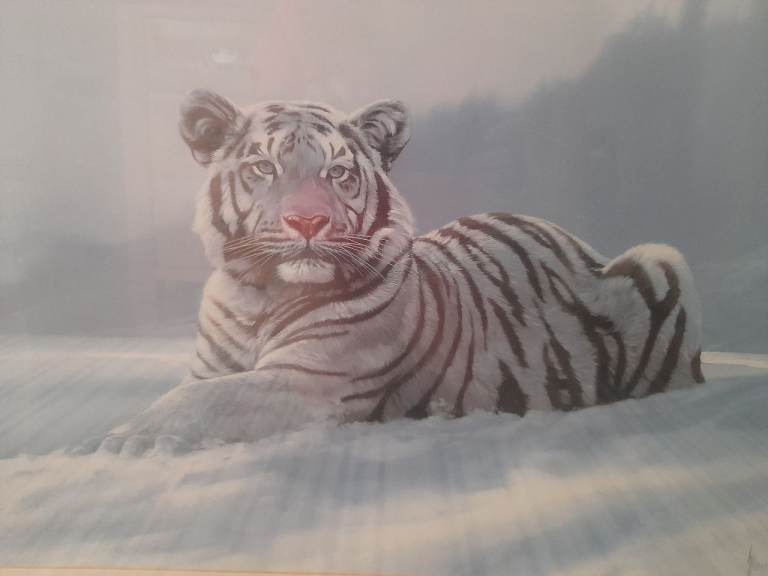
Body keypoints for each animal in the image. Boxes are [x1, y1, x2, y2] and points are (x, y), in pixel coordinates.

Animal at [87, 89, 705, 456]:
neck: (260, 296)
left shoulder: (311, 379)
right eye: (263, 167)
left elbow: (198, 403)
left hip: (663, 260)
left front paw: (117, 443)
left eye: (338, 173)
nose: (307, 220)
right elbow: (191, 393)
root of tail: (575, 240)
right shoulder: (211, 367)